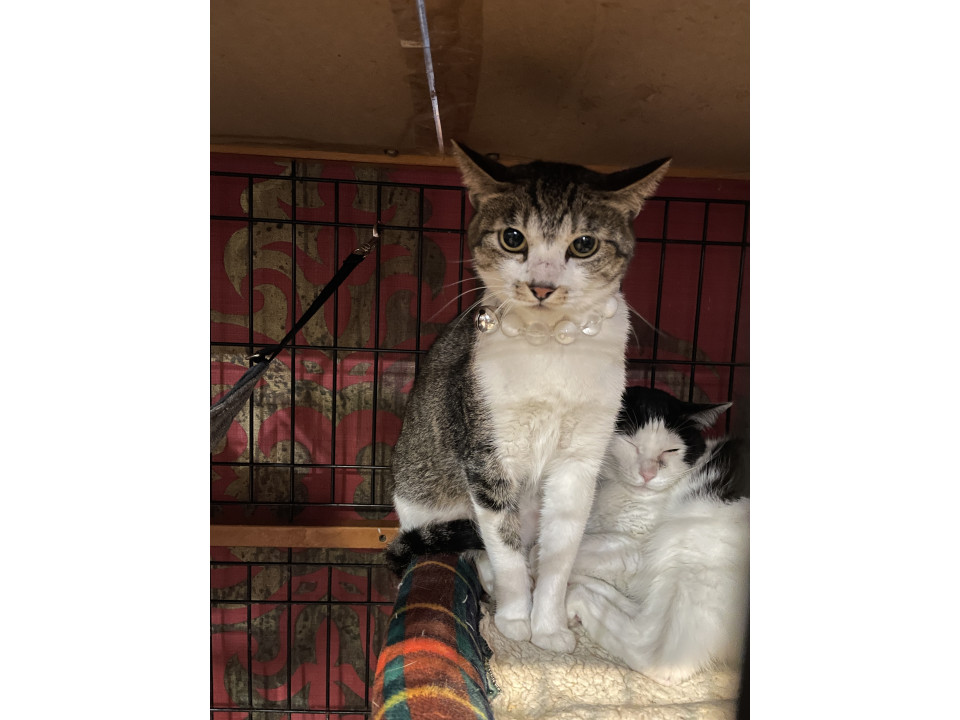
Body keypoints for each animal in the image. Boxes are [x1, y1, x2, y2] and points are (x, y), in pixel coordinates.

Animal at [385, 141, 671, 653]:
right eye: (513, 238)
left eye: (584, 244)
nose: (542, 284)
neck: (549, 349)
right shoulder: (486, 455)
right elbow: (504, 546)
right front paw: (516, 620)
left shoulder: (580, 461)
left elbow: (560, 555)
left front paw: (549, 626)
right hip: (424, 493)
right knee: (469, 543)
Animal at [562, 384, 749, 684]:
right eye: (631, 444)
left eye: (670, 450)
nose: (648, 473)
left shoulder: (635, 546)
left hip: (691, 547)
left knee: (655, 652)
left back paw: (576, 597)